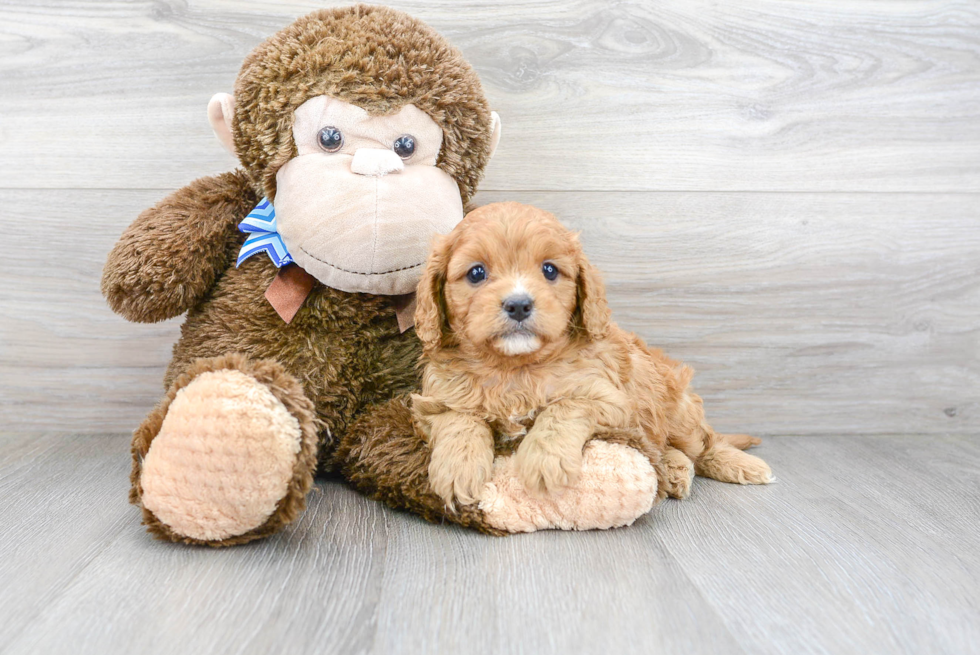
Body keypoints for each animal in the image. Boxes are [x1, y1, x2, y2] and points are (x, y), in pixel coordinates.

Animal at [410, 201, 768, 508]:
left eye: (550, 270)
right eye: (476, 273)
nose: (519, 304)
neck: (514, 367)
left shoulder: (610, 399)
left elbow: (564, 407)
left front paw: (545, 460)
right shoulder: (436, 401)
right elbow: (460, 420)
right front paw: (458, 469)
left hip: (677, 407)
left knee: (704, 443)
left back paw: (741, 465)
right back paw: (674, 469)